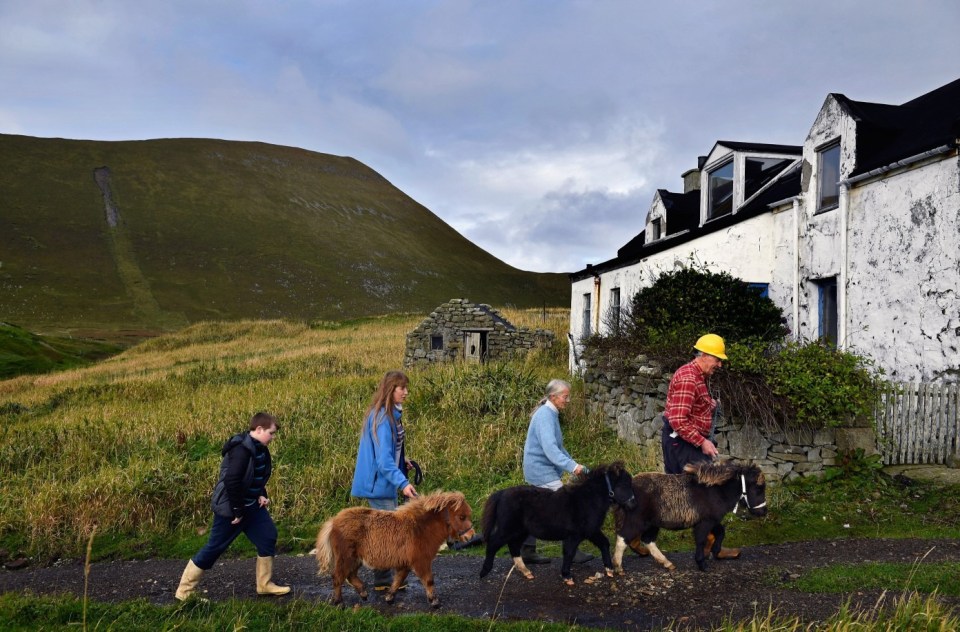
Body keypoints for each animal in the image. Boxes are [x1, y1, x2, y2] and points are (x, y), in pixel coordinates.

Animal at [316, 488, 474, 608]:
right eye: (461, 517)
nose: (471, 536)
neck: (421, 529)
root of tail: (333, 521)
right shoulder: (421, 562)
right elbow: (428, 580)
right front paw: (434, 602)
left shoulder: (406, 564)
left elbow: (398, 580)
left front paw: (389, 597)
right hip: (346, 557)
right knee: (338, 576)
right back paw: (338, 602)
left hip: (355, 559)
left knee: (350, 575)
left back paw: (363, 593)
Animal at [480, 462, 636, 584]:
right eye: (624, 484)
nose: (633, 504)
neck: (588, 499)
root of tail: (501, 493)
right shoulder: (574, 535)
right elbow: (569, 552)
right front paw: (567, 576)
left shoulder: (591, 531)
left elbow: (604, 543)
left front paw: (609, 569)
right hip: (508, 529)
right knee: (493, 543)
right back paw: (484, 572)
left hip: (520, 531)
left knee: (513, 547)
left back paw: (526, 572)